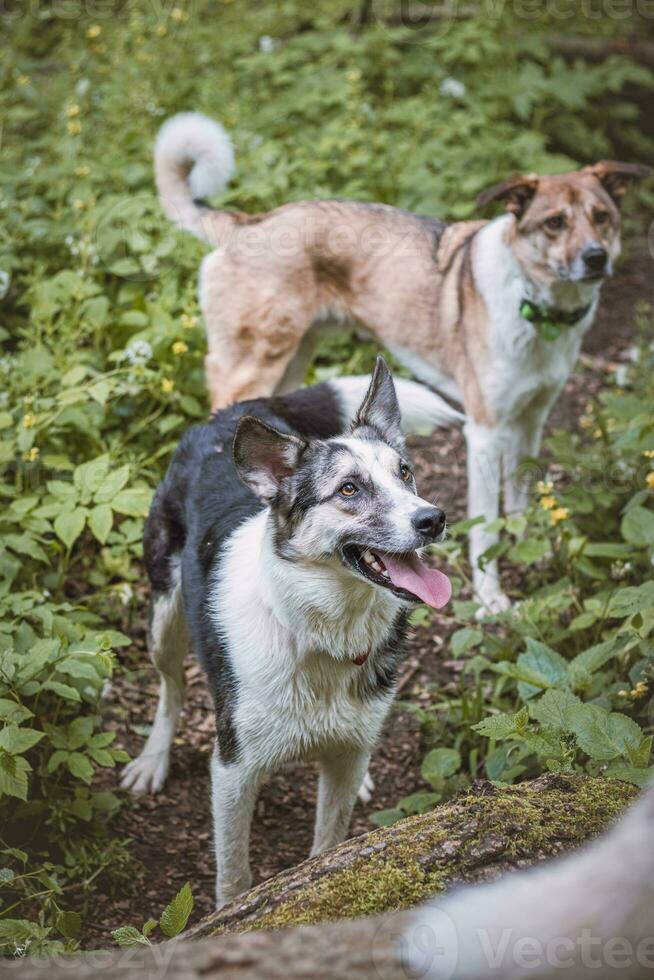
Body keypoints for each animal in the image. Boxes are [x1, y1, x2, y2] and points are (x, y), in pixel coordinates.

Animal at [121, 362, 456, 912]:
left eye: (405, 472)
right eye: (348, 489)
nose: (433, 518)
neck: (320, 632)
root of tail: (237, 411)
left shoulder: (344, 759)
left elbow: (329, 842)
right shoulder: (232, 771)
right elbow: (233, 873)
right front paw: (230, 914)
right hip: (164, 618)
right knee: (171, 688)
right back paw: (153, 759)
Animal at [154, 113, 652, 612]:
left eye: (602, 217)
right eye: (554, 223)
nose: (595, 258)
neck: (535, 305)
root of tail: (246, 224)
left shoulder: (532, 420)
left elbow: (520, 500)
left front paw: (537, 552)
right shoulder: (485, 433)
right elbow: (487, 529)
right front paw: (491, 598)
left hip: (293, 362)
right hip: (253, 365)